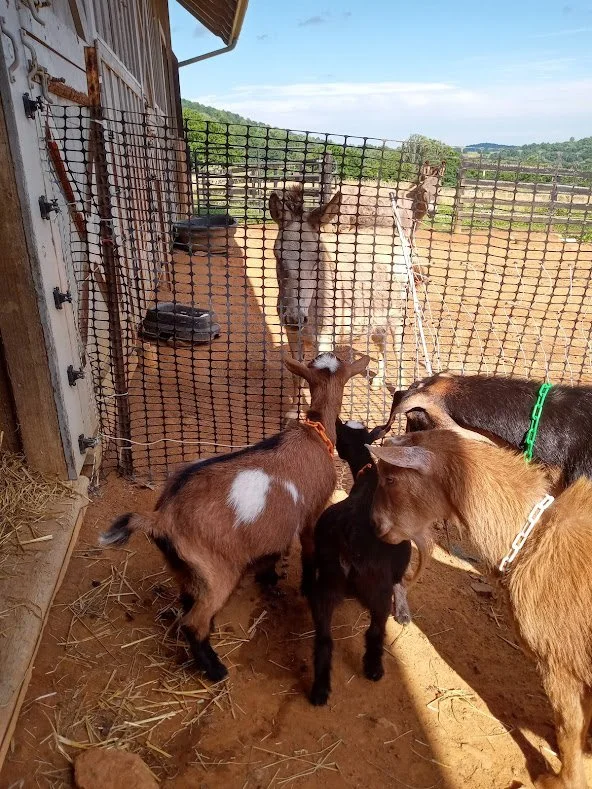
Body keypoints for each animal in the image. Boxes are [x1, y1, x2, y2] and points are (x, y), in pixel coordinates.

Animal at [99, 352, 369, 682]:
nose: (326, 354)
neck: (313, 433)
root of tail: (162, 517)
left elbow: (270, 554)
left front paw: (269, 579)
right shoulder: (312, 511)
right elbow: (307, 550)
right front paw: (305, 586)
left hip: (185, 566)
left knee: (188, 600)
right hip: (216, 571)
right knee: (193, 622)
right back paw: (215, 669)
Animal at [308, 418, 423, 706]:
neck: (368, 477)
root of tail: (349, 534)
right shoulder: (401, 546)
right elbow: (401, 577)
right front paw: (403, 610)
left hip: (328, 582)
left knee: (324, 638)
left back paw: (320, 690)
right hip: (376, 586)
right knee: (375, 629)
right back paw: (374, 667)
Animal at [369, 408, 592, 789]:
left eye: (390, 479)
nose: (375, 524)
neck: (533, 536)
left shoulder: (559, 664)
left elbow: (569, 730)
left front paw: (557, 780)